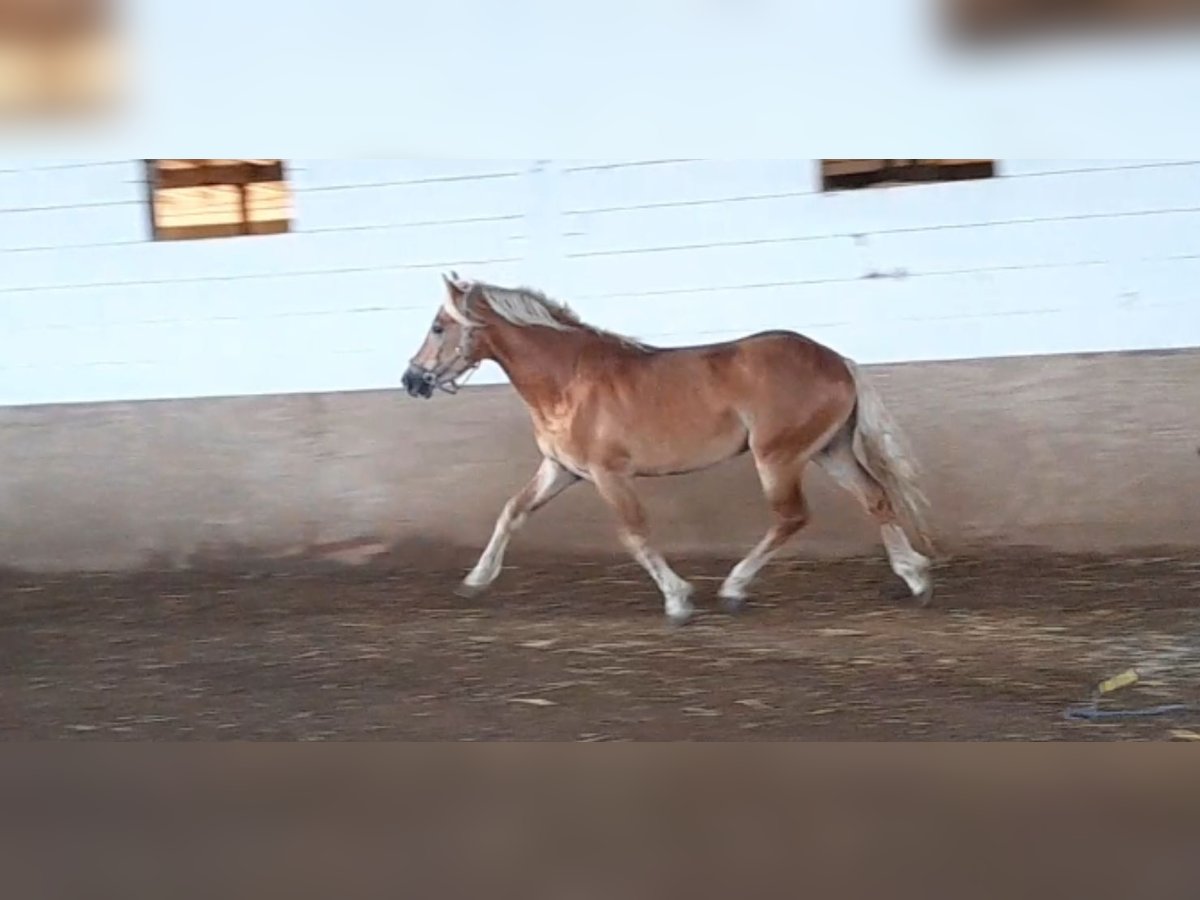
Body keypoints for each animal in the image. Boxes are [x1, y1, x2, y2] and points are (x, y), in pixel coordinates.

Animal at [403, 274, 936, 628]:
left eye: (437, 326)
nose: (412, 379)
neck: (568, 378)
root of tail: (839, 361)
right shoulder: (560, 469)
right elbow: (511, 511)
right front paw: (475, 580)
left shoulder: (609, 474)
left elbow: (634, 535)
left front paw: (679, 601)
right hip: (829, 450)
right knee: (875, 497)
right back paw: (915, 578)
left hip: (779, 457)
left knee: (792, 517)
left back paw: (733, 588)